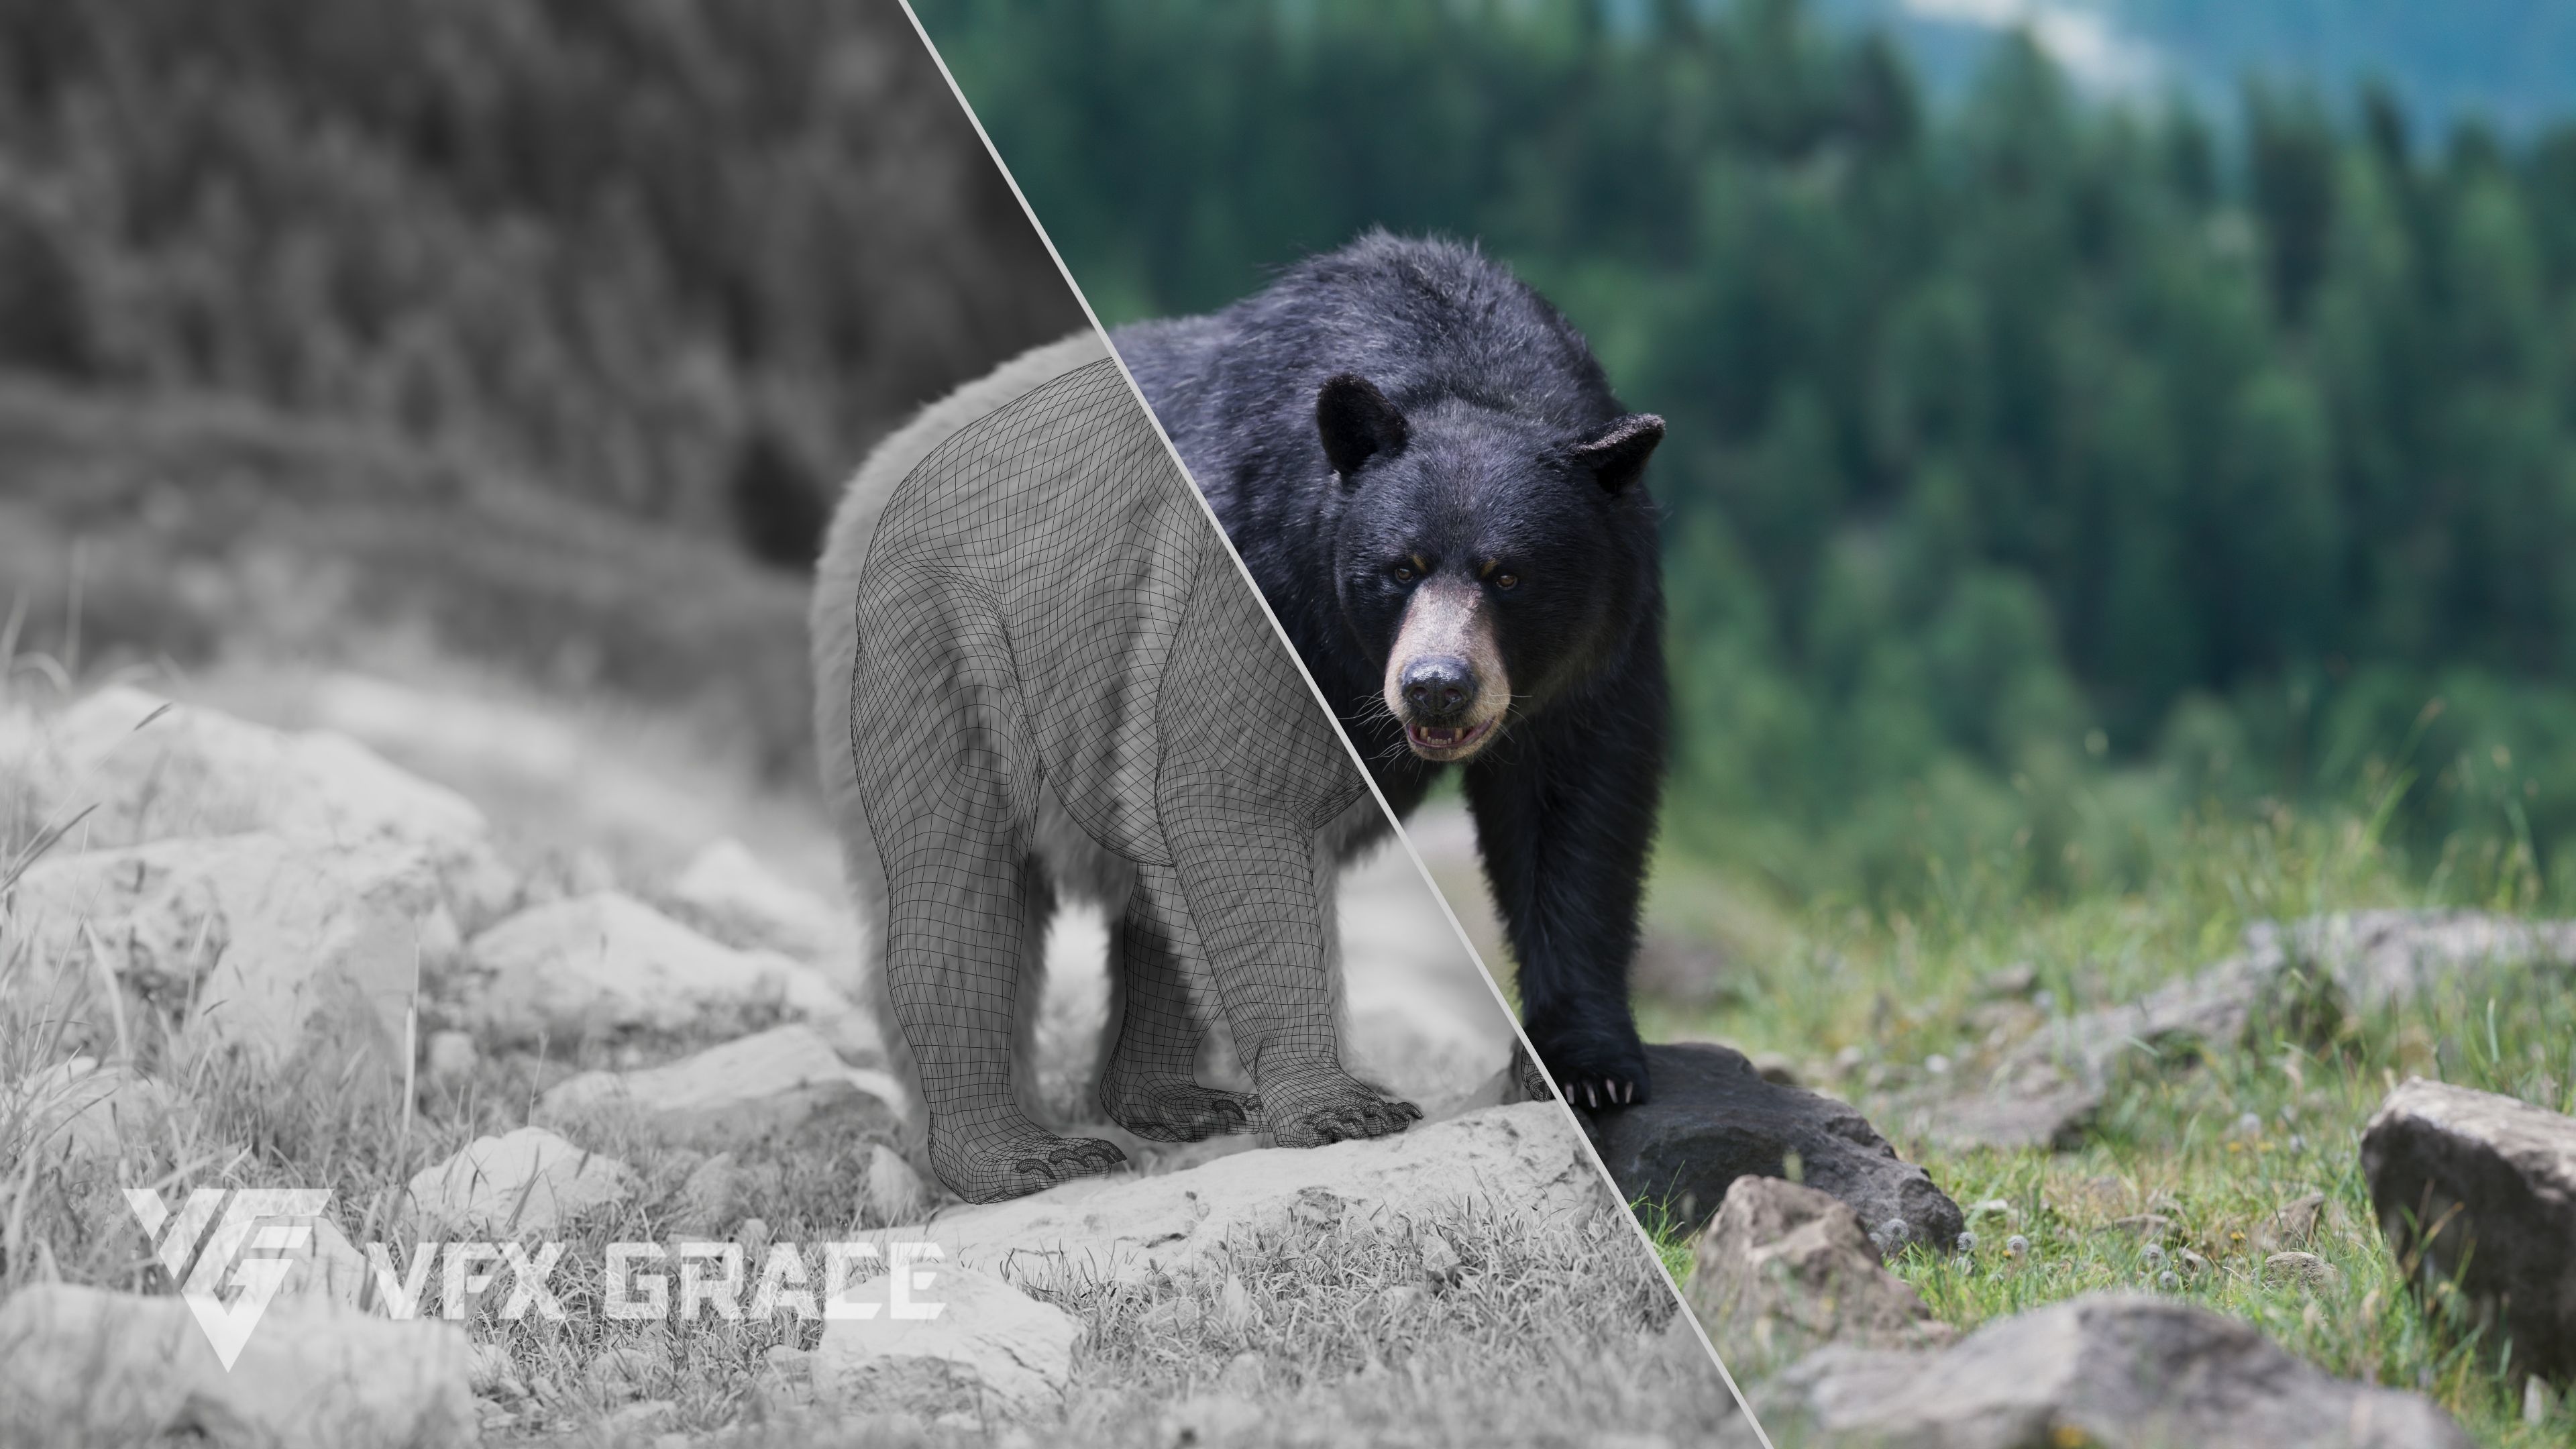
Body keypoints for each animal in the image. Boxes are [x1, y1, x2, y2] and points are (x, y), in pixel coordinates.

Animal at [809, 332, 1420, 1205]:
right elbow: (1229, 791)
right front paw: (1348, 1108)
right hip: (940, 638)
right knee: (959, 889)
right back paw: (1022, 1155)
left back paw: (1177, 1103)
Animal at [1112, 232, 1669, 1108]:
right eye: (1401, 568)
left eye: (1508, 575)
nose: (1438, 686)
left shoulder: (1607, 640)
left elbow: (1578, 814)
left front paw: (1588, 1068)